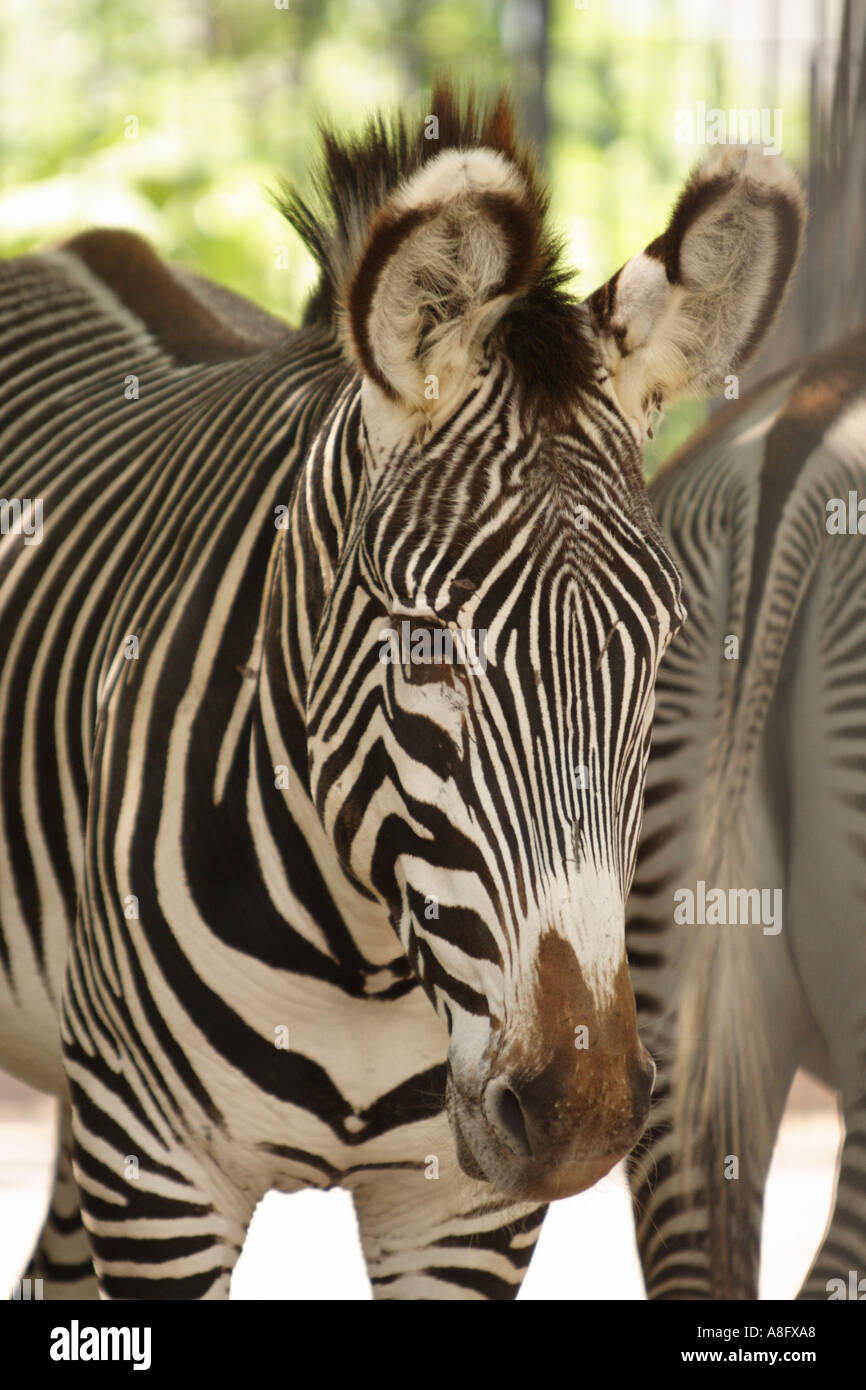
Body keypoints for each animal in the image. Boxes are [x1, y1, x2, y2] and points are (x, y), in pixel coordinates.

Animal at [0, 85, 804, 1299]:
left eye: (659, 646)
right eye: (424, 647)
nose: (580, 1113)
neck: (364, 965)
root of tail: (73, 247)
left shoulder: (462, 1215)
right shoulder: (156, 1177)